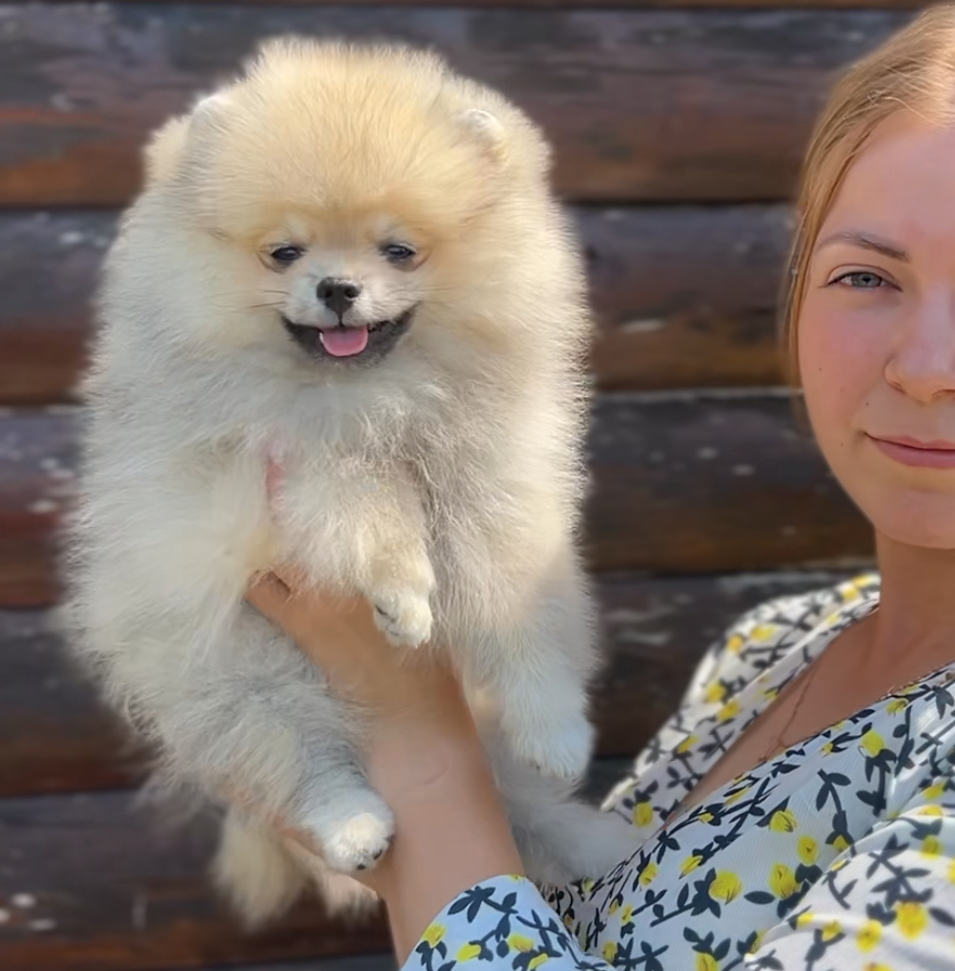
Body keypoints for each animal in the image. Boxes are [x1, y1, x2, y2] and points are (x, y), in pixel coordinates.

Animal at [61, 39, 628, 928]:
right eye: (283, 252)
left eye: (398, 249)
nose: (336, 288)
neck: (376, 398)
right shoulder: (296, 460)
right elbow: (367, 508)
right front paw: (403, 593)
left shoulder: (497, 486)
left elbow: (520, 613)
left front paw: (558, 731)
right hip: (235, 676)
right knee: (297, 757)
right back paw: (351, 822)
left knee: (519, 806)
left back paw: (592, 840)